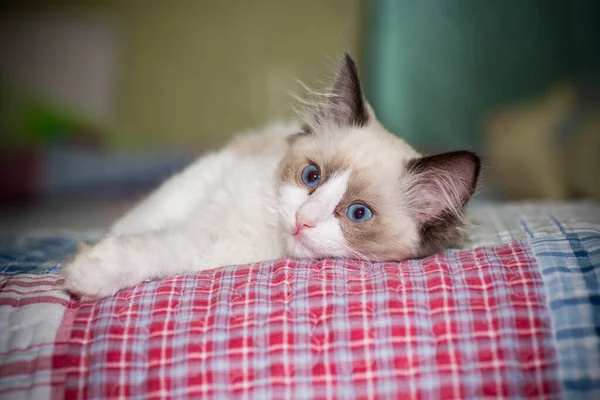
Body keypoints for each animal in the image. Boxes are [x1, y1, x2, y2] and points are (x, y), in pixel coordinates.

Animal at [61, 53, 480, 298]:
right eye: (311, 177)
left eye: (358, 214)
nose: (302, 219)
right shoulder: (211, 172)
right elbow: (146, 216)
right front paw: (88, 250)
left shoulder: (205, 248)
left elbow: (154, 248)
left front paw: (87, 271)